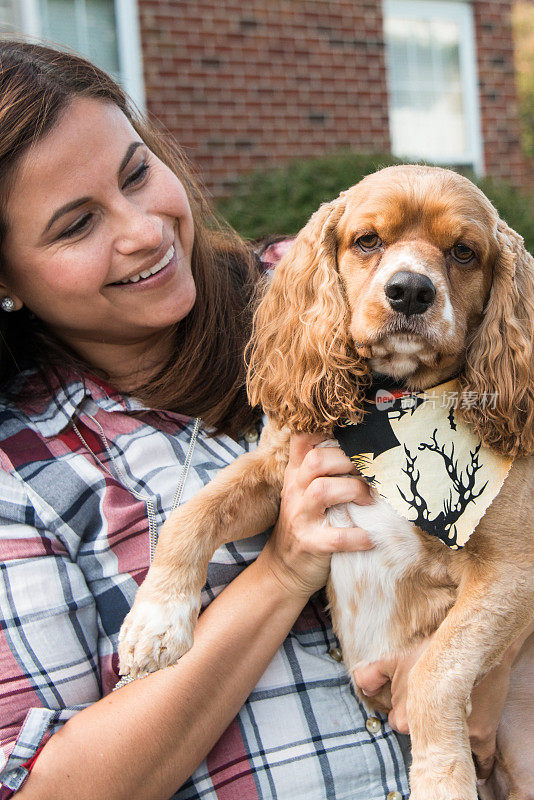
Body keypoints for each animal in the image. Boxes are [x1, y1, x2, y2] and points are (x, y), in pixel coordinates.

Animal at [119, 167, 532, 800]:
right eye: (367, 240)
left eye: (464, 252)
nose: (410, 291)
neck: (388, 403)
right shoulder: (279, 471)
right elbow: (196, 512)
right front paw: (156, 620)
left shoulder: (512, 570)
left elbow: (436, 672)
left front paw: (441, 779)